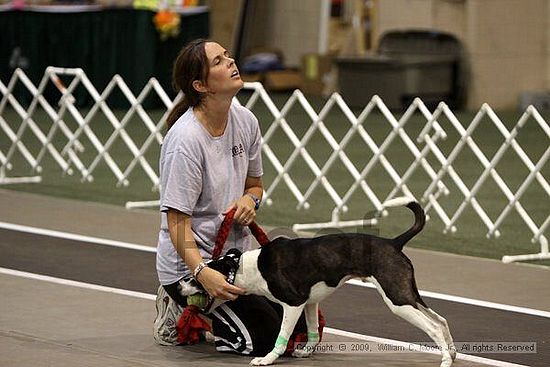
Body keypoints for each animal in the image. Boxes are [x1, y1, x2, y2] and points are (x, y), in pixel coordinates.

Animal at [209, 198, 454, 367]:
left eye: (201, 282)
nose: (188, 285)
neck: (249, 267)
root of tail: (394, 243)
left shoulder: (293, 304)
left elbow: (282, 336)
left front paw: (267, 359)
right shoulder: (309, 303)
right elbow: (312, 330)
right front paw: (306, 352)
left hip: (397, 299)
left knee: (433, 327)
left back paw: (445, 361)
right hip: (408, 294)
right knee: (441, 320)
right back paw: (451, 354)